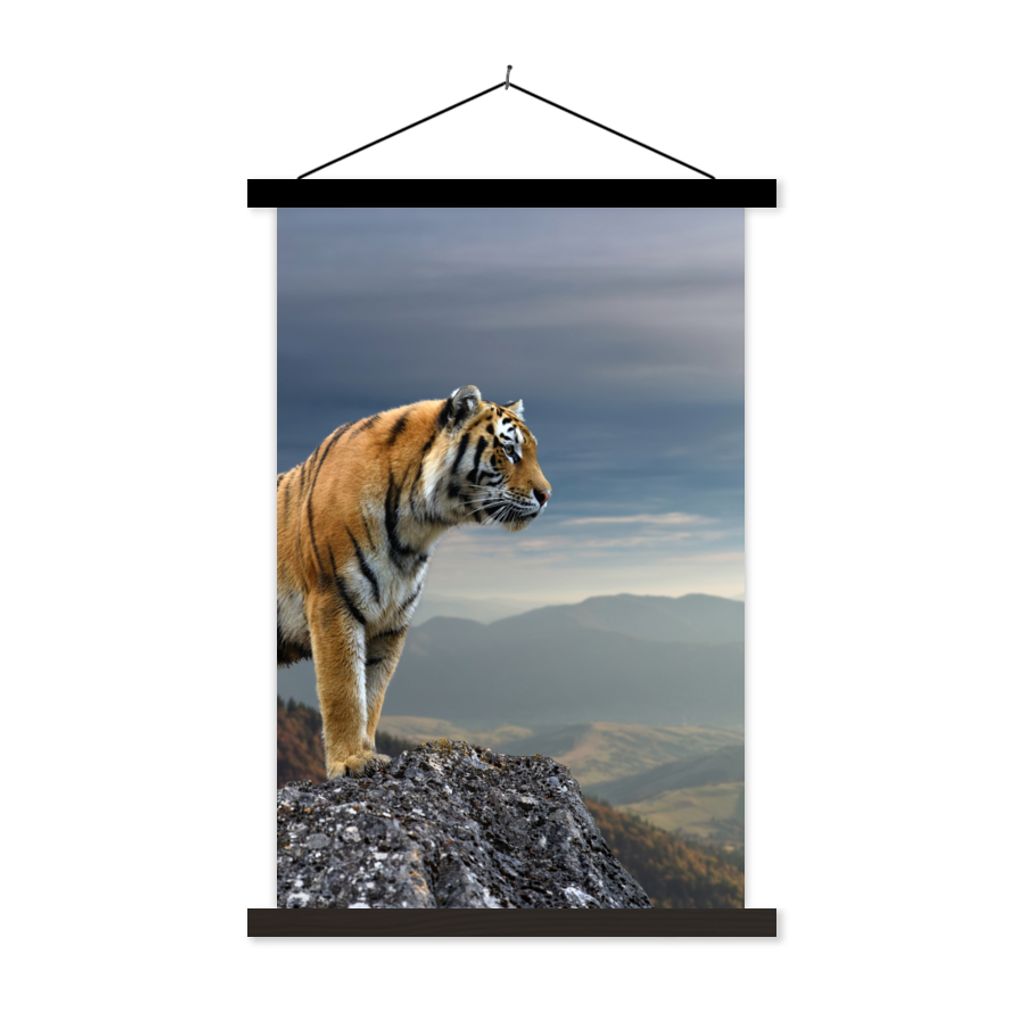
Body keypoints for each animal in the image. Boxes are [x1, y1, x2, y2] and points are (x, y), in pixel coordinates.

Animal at [277, 384, 552, 778]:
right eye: (509, 450)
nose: (546, 495)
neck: (416, 527)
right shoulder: (333, 602)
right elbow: (343, 689)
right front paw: (350, 760)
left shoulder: (391, 621)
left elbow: (372, 693)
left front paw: (366, 751)